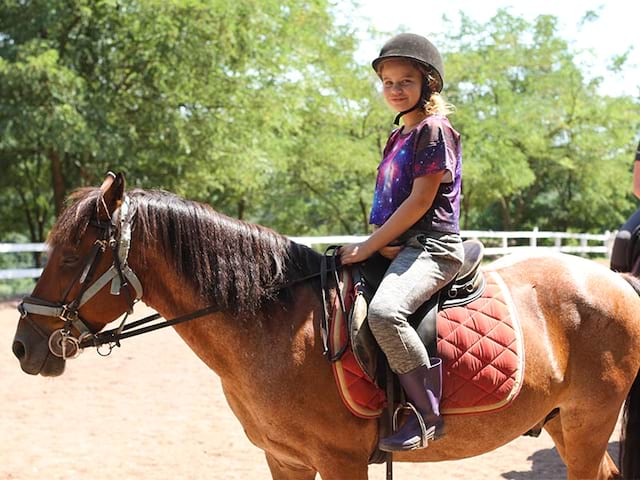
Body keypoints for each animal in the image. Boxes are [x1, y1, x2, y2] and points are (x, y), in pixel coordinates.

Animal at [11, 173, 640, 480]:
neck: (278, 331)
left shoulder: (341, 463)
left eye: (73, 255)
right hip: (562, 423)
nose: (22, 347)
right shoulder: (284, 460)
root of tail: (615, 282)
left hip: (587, 423)